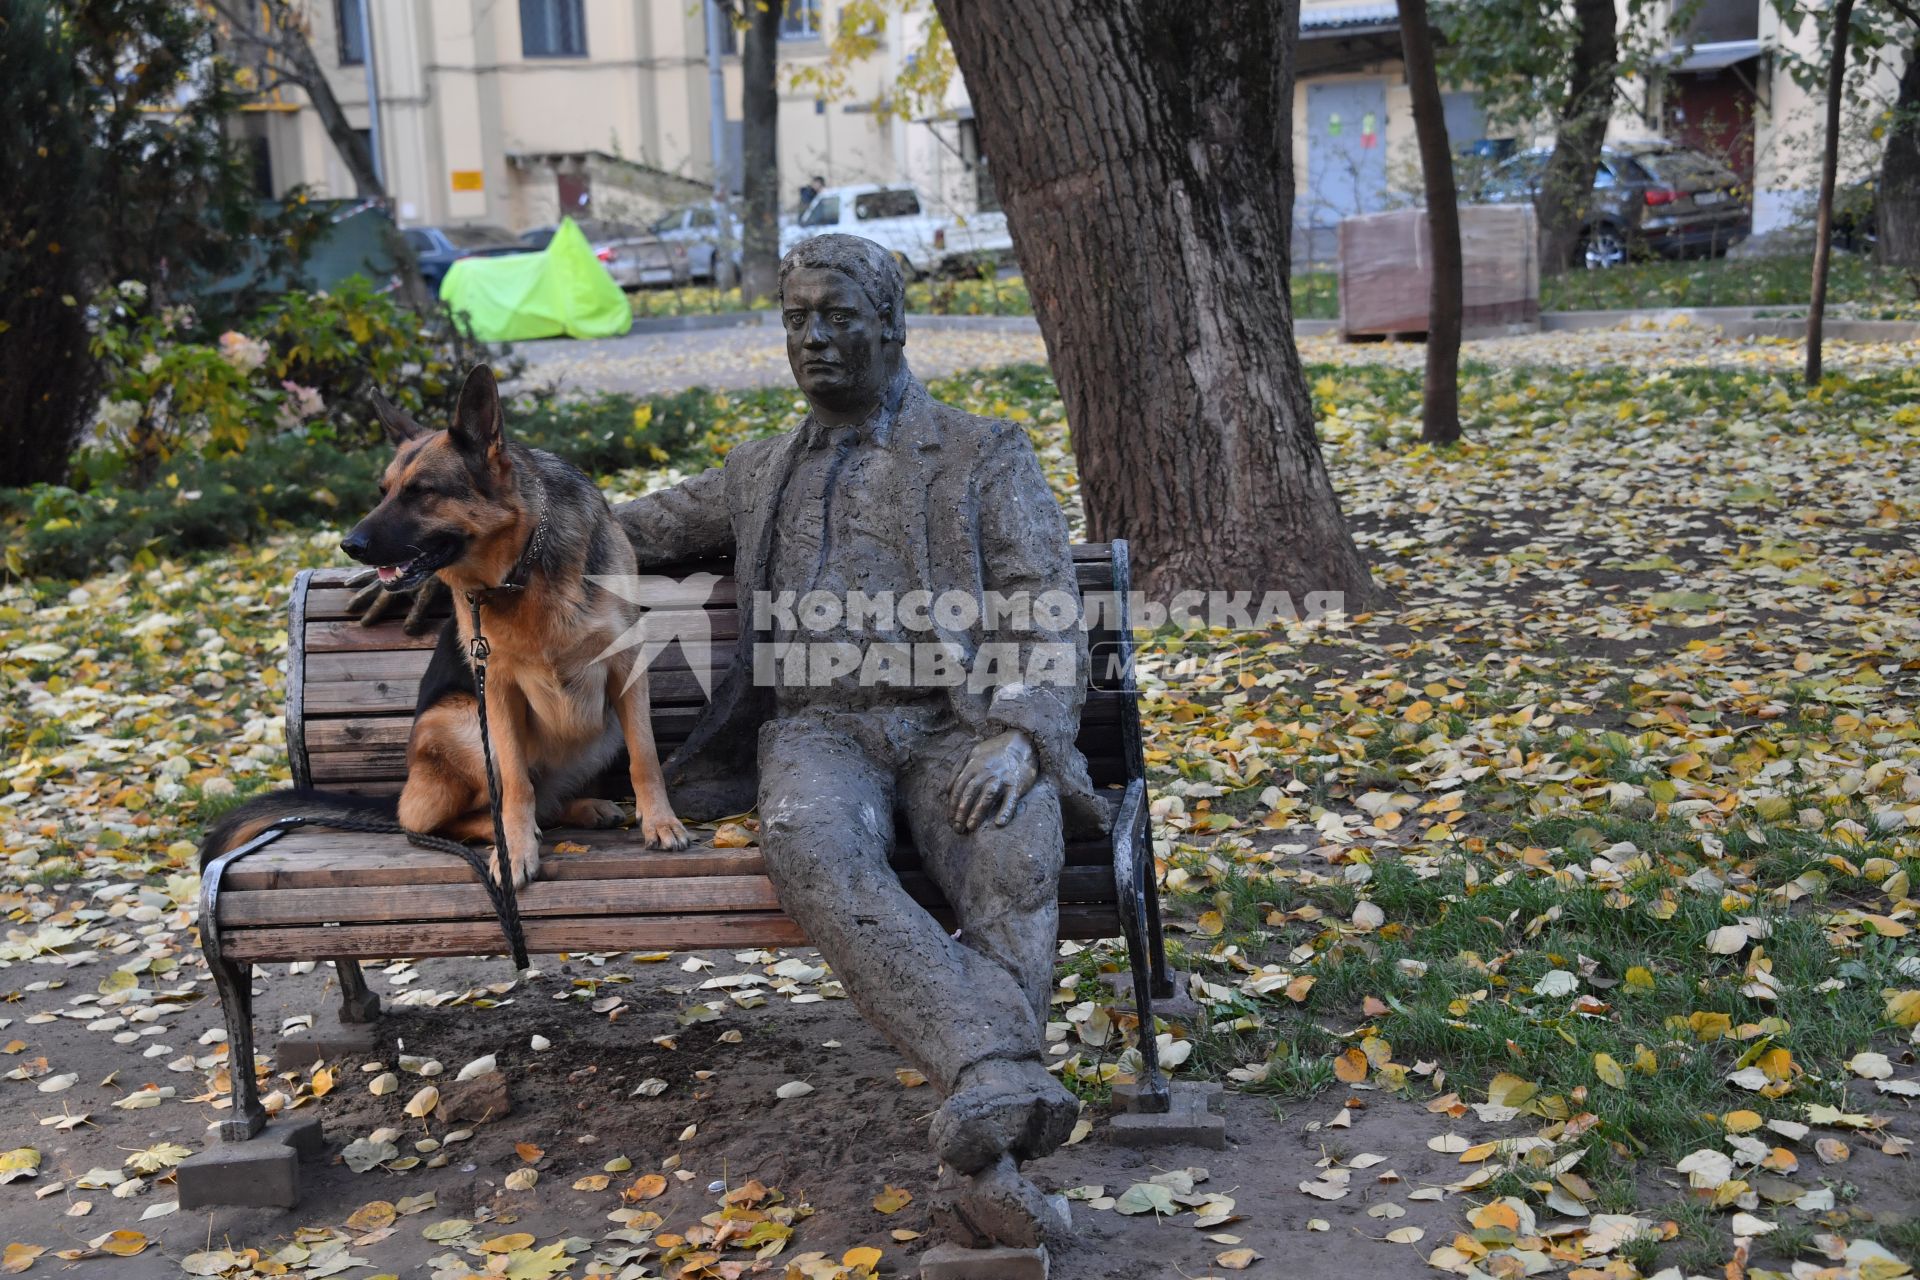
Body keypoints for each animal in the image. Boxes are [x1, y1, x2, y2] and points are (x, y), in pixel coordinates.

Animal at [200, 370, 691, 886]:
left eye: (422, 491)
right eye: (384, 490)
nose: (349, 545)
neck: (523, 570)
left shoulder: (627, 669)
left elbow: (645, 756)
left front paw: (661, 822)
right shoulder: (496, 688)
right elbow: (515, 785)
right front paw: (515, 849)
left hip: (597, 727)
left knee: (539, 799)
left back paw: (581, 809)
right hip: (458, 724)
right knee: (435, 818)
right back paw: (511, 828)